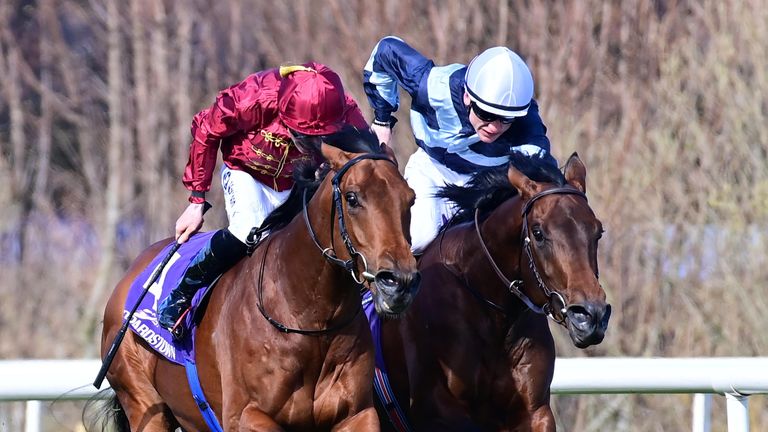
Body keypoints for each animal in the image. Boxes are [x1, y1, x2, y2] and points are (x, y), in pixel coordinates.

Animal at [98, 129, 420, 432]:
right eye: (352, 198)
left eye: (410, 198)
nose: (399, 282)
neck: (310, 319)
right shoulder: (246, 416)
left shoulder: (358, 414)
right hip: (142, 401)